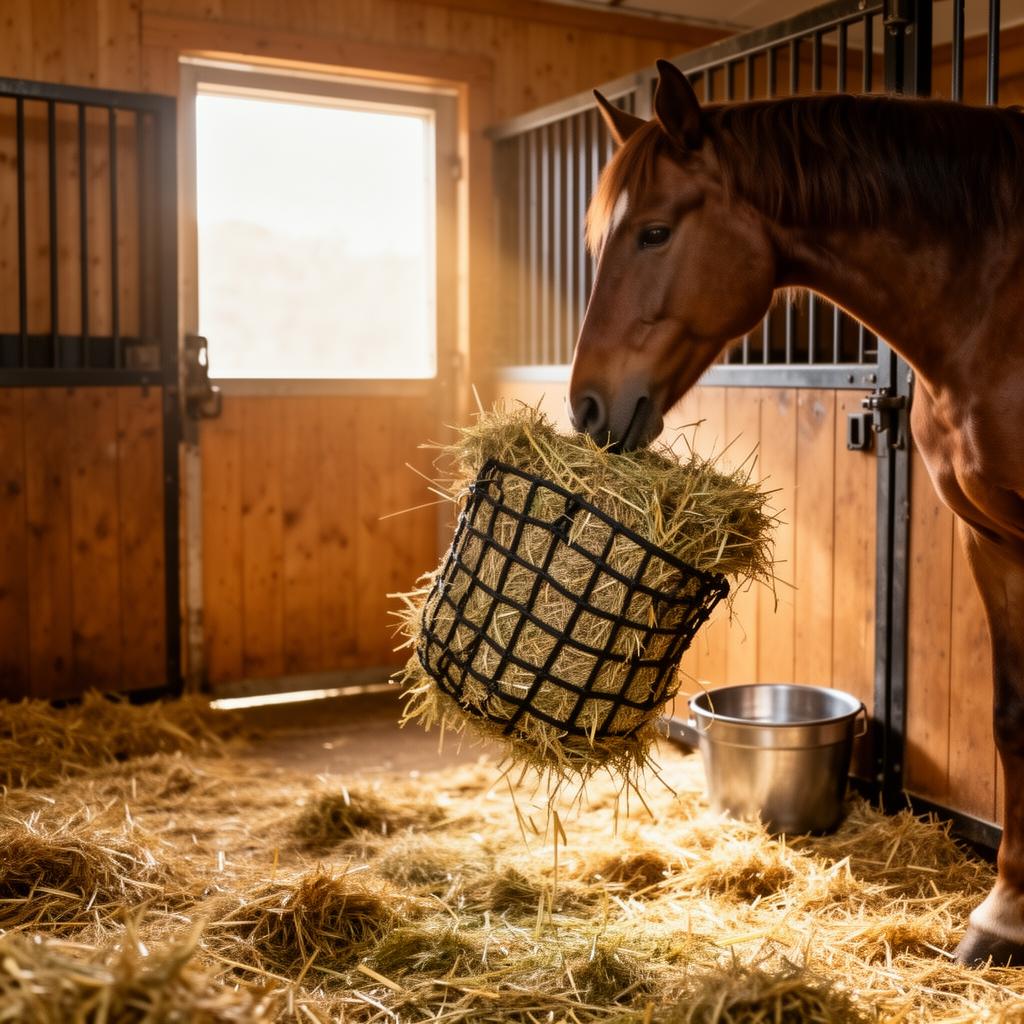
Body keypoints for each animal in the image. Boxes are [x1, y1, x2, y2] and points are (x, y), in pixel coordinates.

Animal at [568, 58, 1024, 966]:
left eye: (655, 233)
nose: (588, 408)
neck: (998, 301)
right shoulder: (991, 538)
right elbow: (1013, 719)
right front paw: (1004, 919)